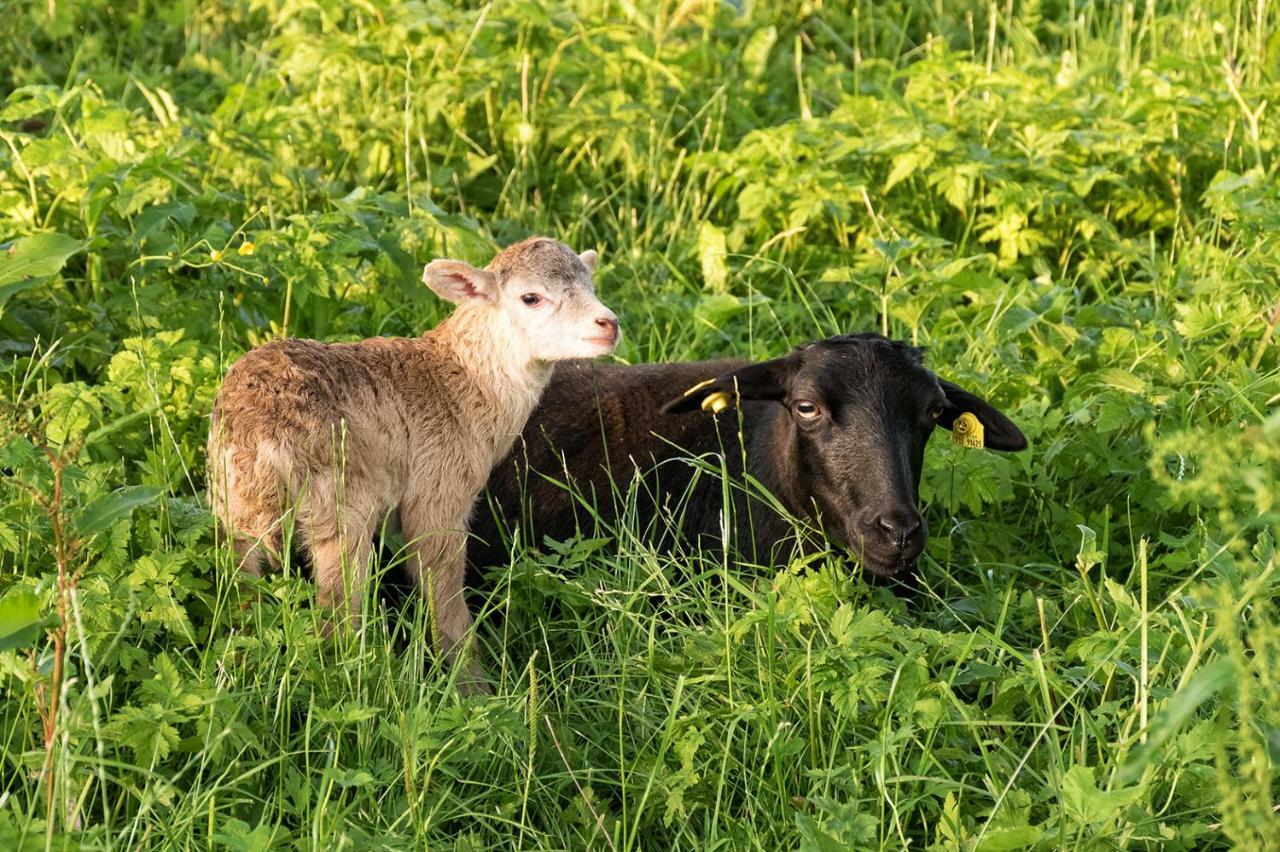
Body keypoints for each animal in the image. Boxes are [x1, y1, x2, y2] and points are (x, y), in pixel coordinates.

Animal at [209, 235, 619, 675]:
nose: (609, 324)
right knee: (338, 612)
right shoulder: (439, 493)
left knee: (241, 590)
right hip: (340, 506)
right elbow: (444, 594)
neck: (464, 381)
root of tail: (256, 440)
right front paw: (472, 680)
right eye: (531, 298)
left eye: (591, 285)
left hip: (233, 508)